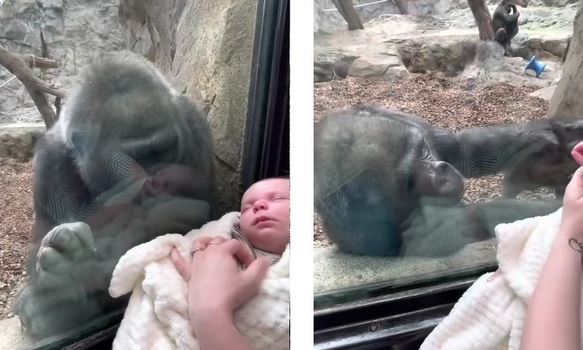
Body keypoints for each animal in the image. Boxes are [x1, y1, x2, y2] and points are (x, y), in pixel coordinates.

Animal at [16, 50, 217, 338]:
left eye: (163, 150)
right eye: (136, 158)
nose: (156, 182)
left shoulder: (195, 126)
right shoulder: (49, 161)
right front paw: (67, 273)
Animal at [314, 106, 572, 258]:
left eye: (422, 150)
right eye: (410, 183)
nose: (440, 173)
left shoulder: (408, 123)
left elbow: (461, 150)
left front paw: (538, 143)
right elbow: (481, 218)